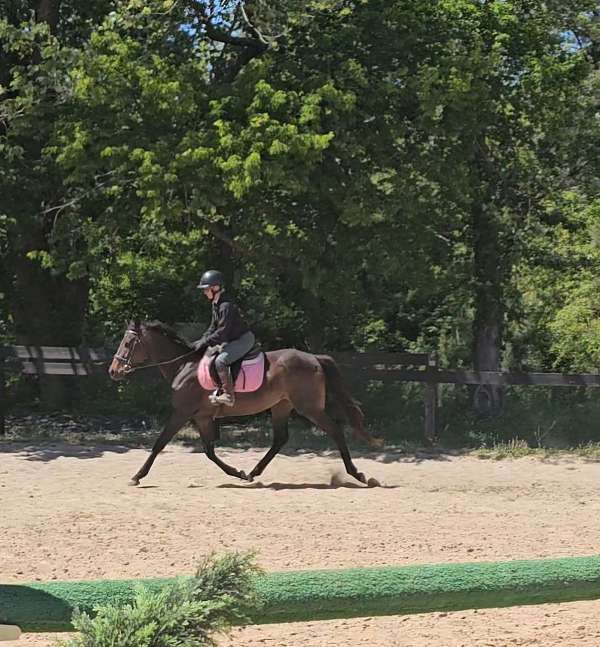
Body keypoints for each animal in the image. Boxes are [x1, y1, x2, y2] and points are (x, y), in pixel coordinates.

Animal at [108, 320, 383, 486]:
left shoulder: (182, 412)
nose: (113, 371)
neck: (183, 365)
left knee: (335, 430)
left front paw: (137, 476)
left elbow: (159, 444)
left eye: (128, 343)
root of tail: (314, 358)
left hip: (309, 407)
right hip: (281, 405)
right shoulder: (202, 417)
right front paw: (238, 473)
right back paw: (252, 473)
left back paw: (359, 475)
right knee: (280, 439)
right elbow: (209, 451)